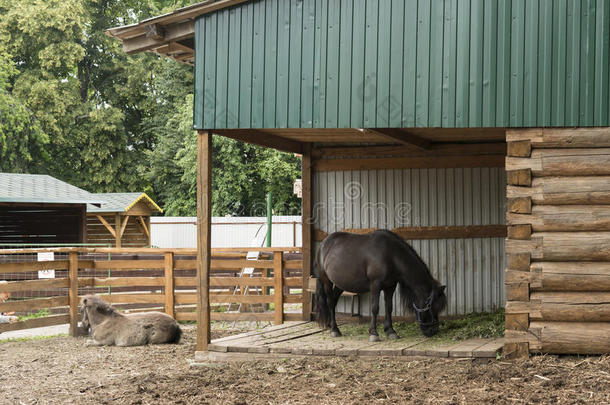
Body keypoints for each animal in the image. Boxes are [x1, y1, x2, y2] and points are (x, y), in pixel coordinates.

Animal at [316, 229, 444, 340]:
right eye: (433, 306)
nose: (433, 330)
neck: (391, 254)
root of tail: (323, 244)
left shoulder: (390, 286)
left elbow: (389, 307)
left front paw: (391, 331)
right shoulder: (375, 285)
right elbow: (375, 308)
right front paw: (373, 333)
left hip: (340, 284)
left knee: (334, 301)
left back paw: (332, 326)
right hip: (326, 281)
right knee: (330, 302)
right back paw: (334, 330)